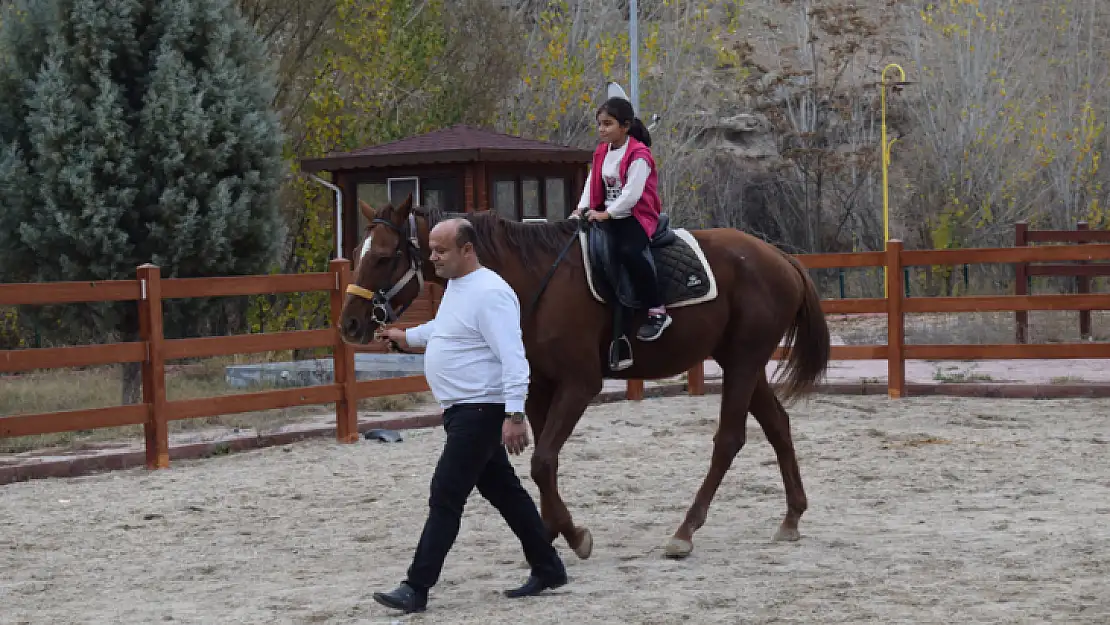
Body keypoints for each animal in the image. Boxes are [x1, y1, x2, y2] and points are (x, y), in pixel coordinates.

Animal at [341, 195, 830, 557]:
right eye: (357, 256)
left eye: (383, 257)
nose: (350, 324)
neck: (532, 279)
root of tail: (780, 258)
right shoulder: (537, 387)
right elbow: (545, 461)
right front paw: (550, 531)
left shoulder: (579, 385)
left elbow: (542, 461)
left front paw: (573, 535)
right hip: (740, 362)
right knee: (778, 425)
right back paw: (792, 517)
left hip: (744, 362)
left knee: (729, 439)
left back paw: (685, 531)